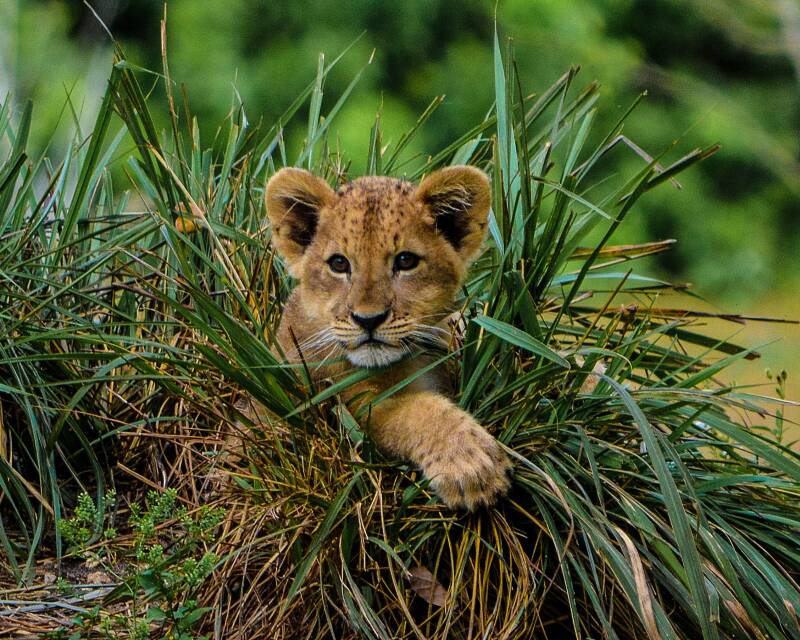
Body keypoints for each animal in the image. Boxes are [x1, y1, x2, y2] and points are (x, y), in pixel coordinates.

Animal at [264, 165, 512, 510]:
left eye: (405, 261)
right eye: (339, 264)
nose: (368, 320)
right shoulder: (349, 407)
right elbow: (414, 410)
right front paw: (471, 465)